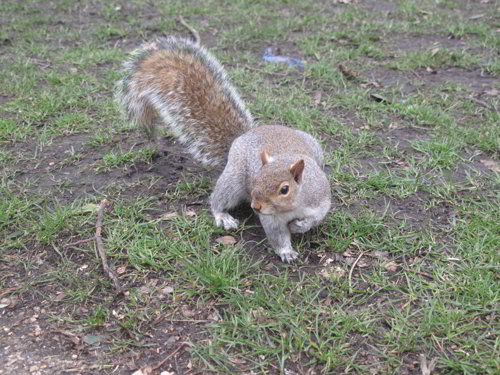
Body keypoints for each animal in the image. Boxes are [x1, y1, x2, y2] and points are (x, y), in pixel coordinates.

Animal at [115, 36, 330, 262]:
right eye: (255, 179)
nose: (256, 206)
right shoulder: (270, 218)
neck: (291, 207)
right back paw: (223, 216)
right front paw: (286, 252)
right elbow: (277, 235)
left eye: (284, 189)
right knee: (217, 199)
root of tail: (244, 135)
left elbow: (315, 218)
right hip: (232, 181)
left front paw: (300, 226)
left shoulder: (320, 199)